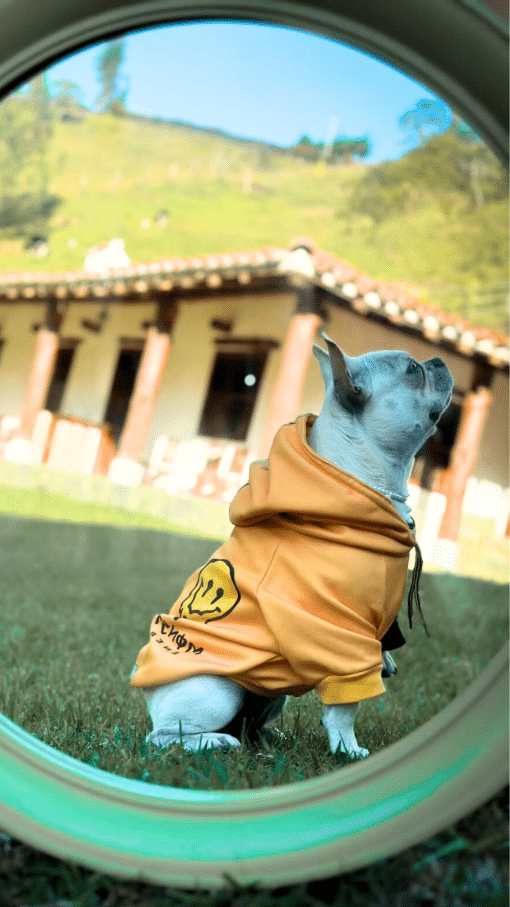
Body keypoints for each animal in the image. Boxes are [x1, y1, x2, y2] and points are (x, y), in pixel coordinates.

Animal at [129, 334, 452, 760]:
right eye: (413, 370)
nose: (438, 361)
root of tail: (149, 694)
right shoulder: (340, 632)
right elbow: (345, 708)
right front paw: (348, 750)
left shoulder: (371, 624)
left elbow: (379, 646)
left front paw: (385, 660)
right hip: (215, 692)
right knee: (166, 737)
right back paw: (215, 741)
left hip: (269, 696)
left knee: (250, 722)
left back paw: (267, 737)